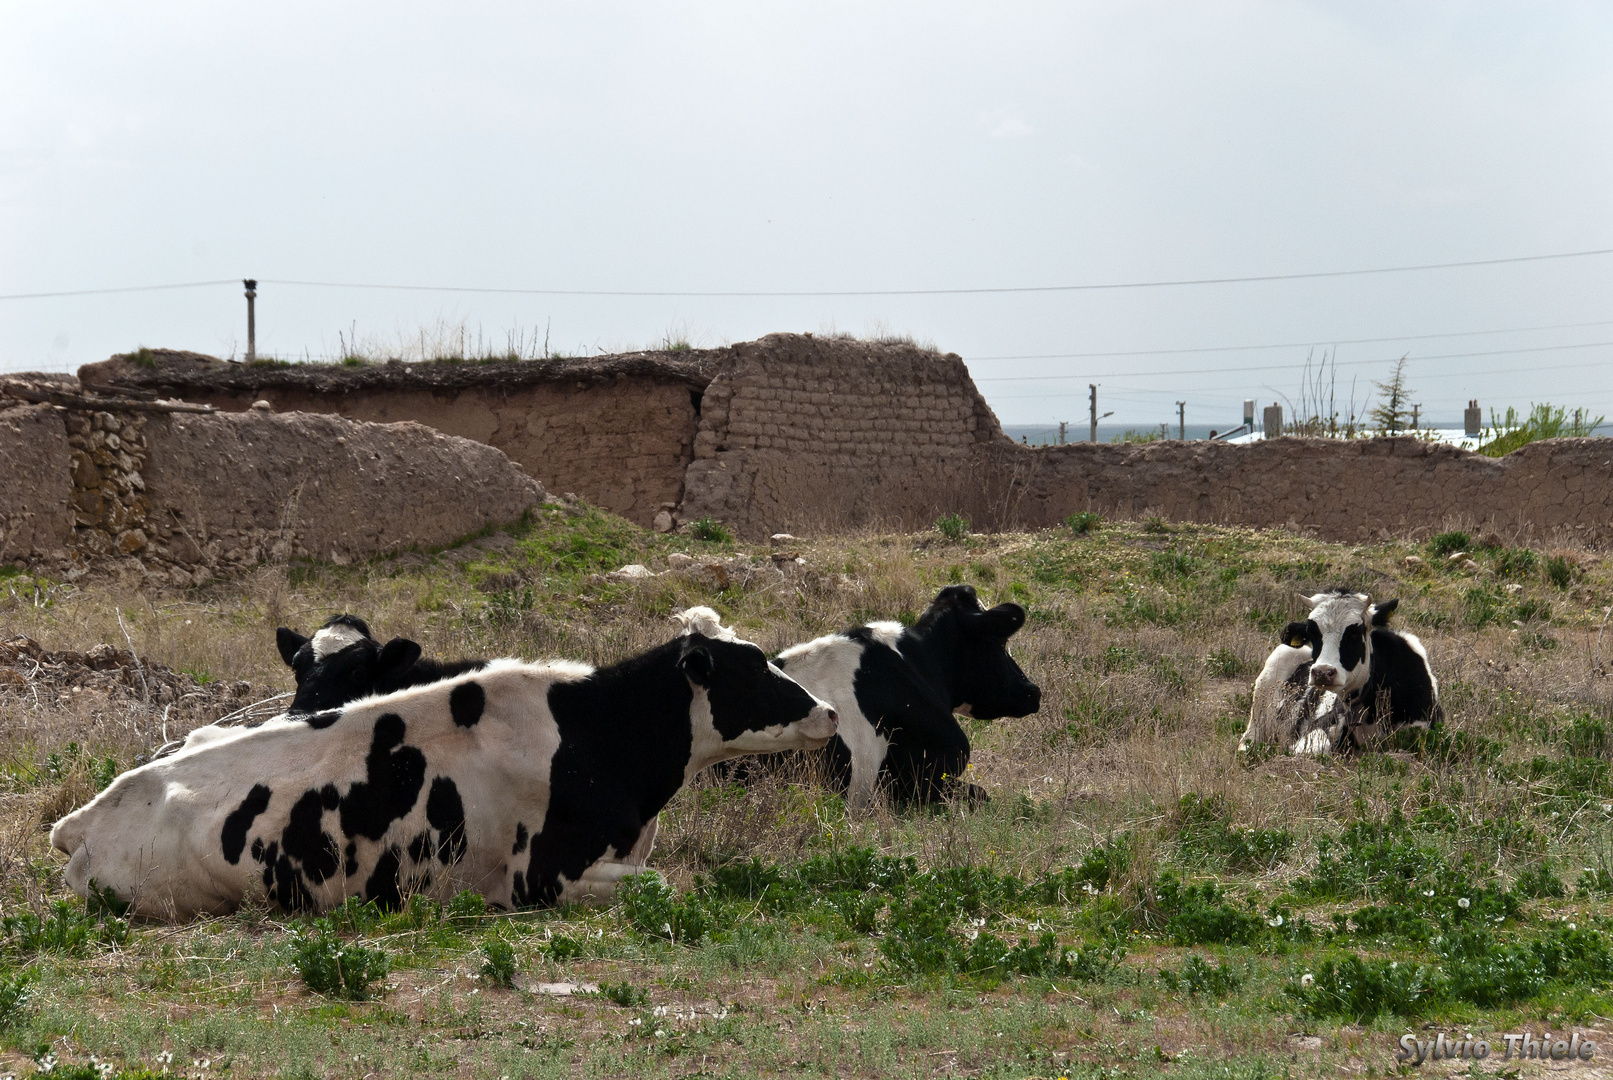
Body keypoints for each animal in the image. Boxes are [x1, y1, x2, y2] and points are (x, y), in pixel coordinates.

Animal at [50, 609, 832, 922]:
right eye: (753, 669)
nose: (827, 710)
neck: (595, 734)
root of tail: (86, 817)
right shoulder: (538, 879)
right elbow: (667, 884)